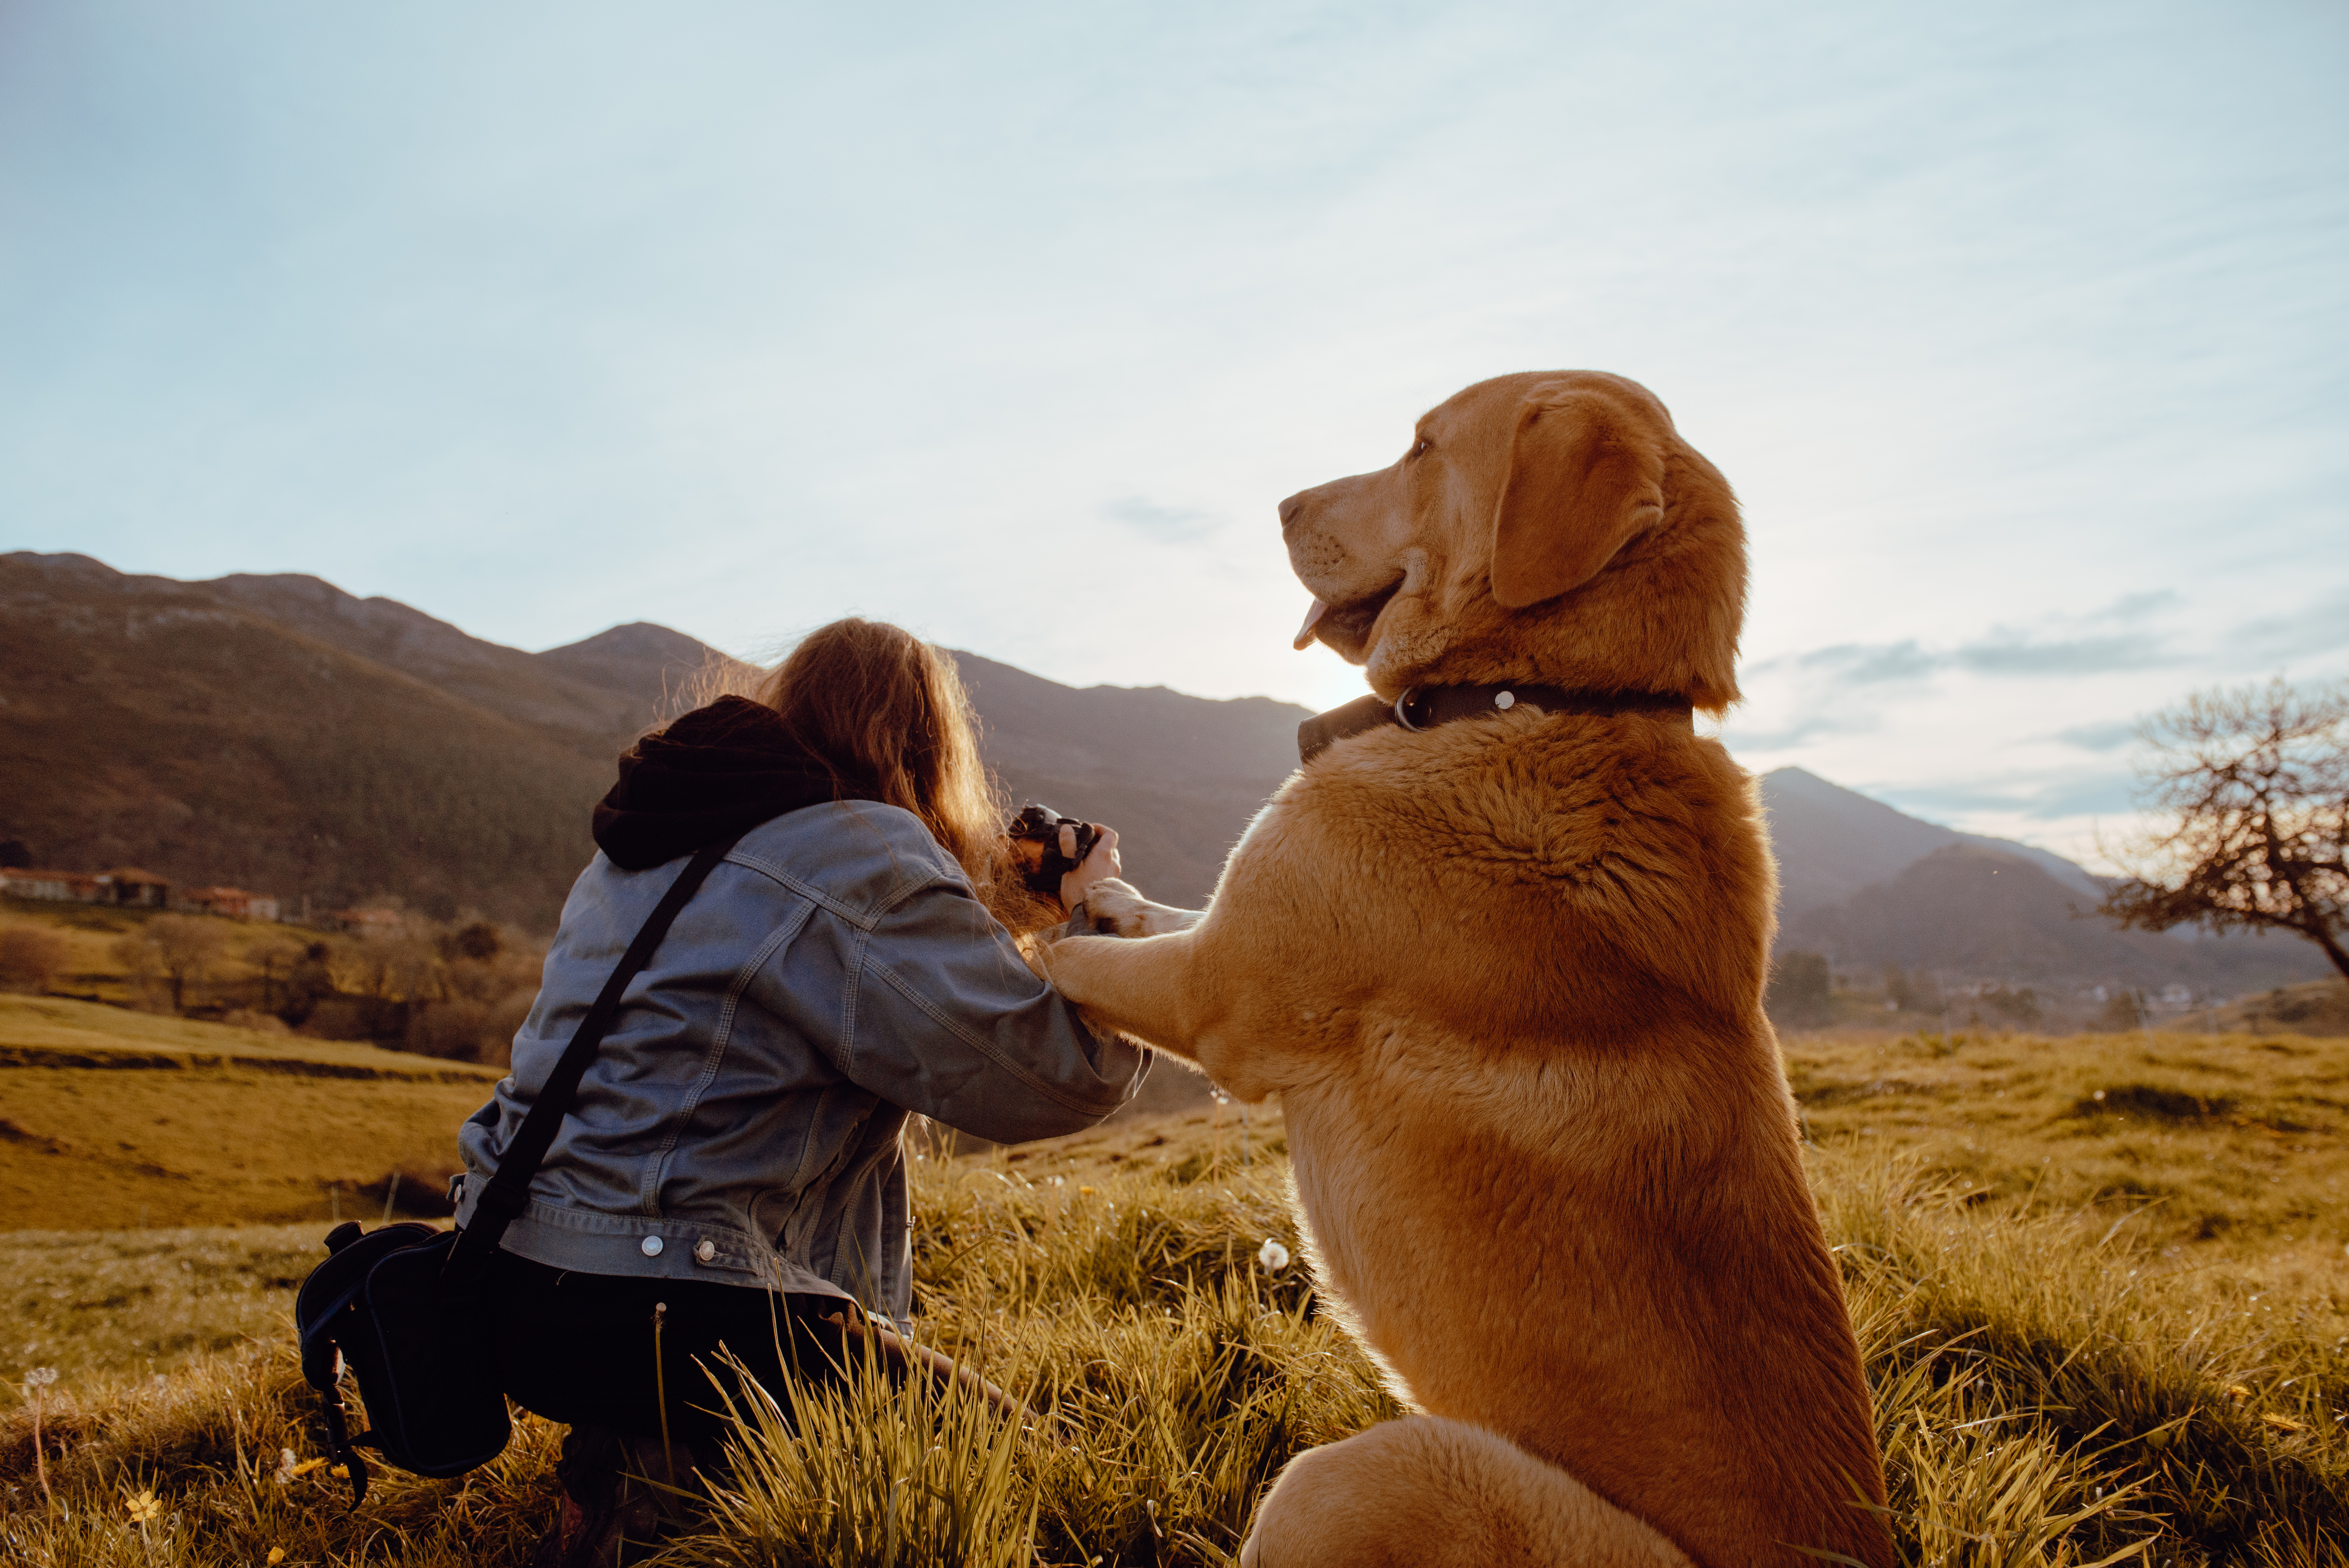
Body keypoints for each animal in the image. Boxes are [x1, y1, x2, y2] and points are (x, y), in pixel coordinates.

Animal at [1048, 373, 1888, 1558]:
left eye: (1421, 447)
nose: (1277, 504)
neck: (1545, 695)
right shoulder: (1220, 932)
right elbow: (1140, 916)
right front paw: (1097, 885)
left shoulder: (1211, 989)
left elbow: (1061, 954)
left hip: (1362, 1476)